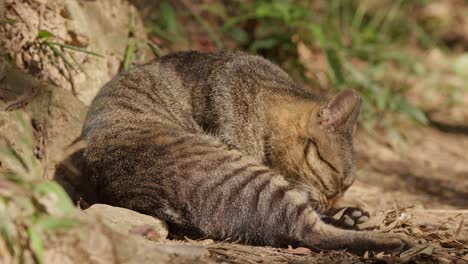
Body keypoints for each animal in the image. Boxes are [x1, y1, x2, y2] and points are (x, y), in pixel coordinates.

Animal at [55, 50, 414, 255]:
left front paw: (346, 211)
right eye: (335, 180)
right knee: (309, 231)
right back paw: (394, 240)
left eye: (345, 187)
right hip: (252, 179)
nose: (333, 201)